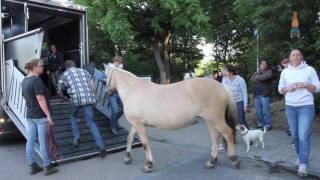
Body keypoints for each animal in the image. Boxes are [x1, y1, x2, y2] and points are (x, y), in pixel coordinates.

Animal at [104, 64, 240, 172]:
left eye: (105, 77)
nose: (108, 92)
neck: (133, 90)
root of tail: (222, 87)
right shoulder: (136, 123)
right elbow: (129, 138)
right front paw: (127, 157)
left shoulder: (138, 124)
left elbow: (145, 143)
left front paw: (149, 165)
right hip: (210, 121)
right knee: (215, 137)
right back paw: (211, 161)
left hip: (216, 119)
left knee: (228, 133)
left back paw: (234, 160)